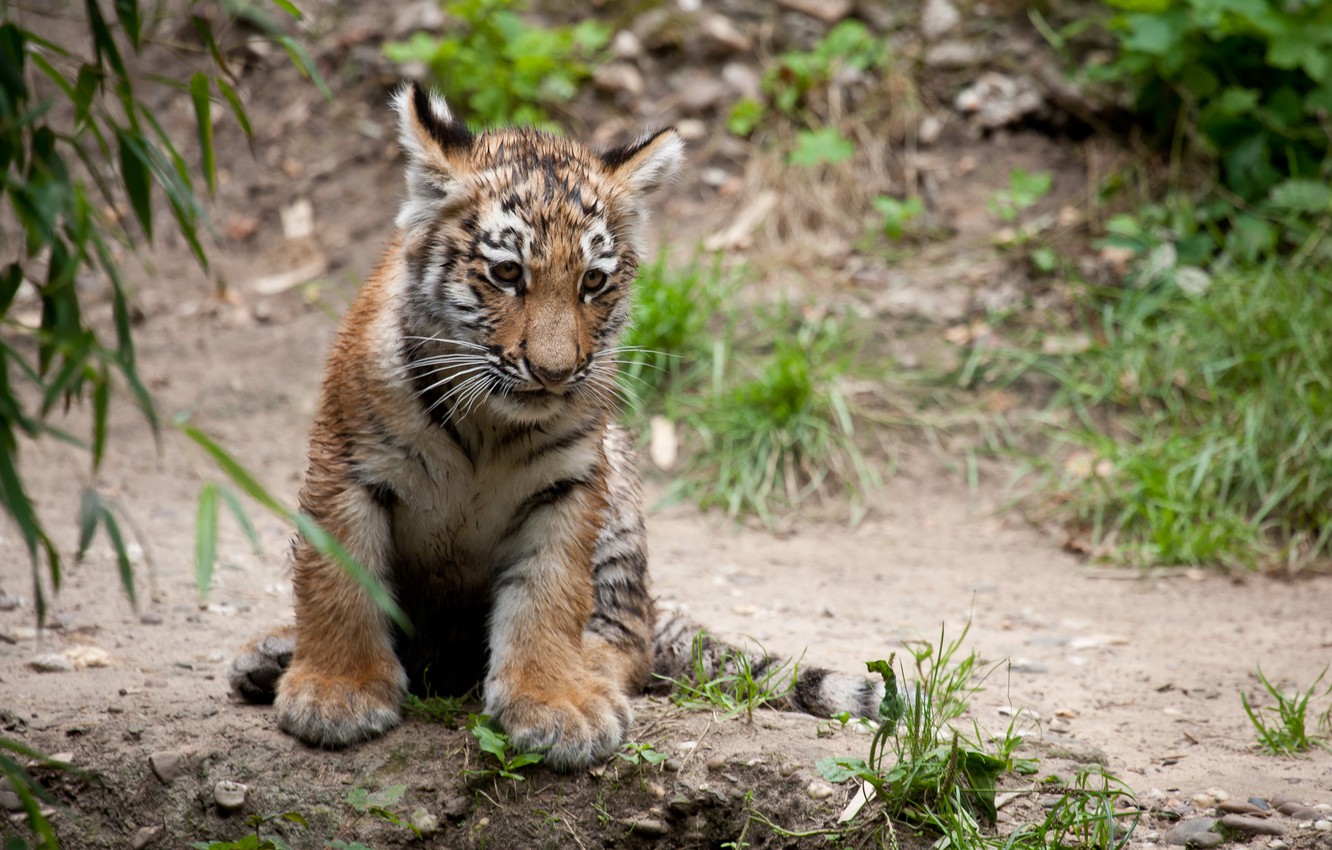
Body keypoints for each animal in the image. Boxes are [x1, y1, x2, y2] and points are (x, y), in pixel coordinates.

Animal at [228, 83, 880, 771]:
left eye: (593, 281)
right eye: (507, 273)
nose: (554, 371)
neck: (488, 424)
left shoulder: (566, 487)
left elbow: (548, 596)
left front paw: (556, 703)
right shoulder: (347, 466)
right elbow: (339, 581)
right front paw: (336, 693)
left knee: (631, 642)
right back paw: (272, 655)